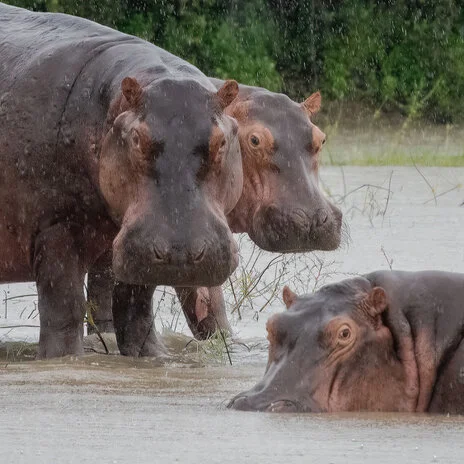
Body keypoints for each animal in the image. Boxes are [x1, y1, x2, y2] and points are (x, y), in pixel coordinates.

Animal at [0, 2, 243, 358]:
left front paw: (152, 357)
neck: (112, 106)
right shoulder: (54, 224)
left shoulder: (135, 242)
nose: (182, 252)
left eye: (222, 141)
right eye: (136, 138)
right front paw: (63, 358)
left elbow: (135, 308)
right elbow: (65, 303)